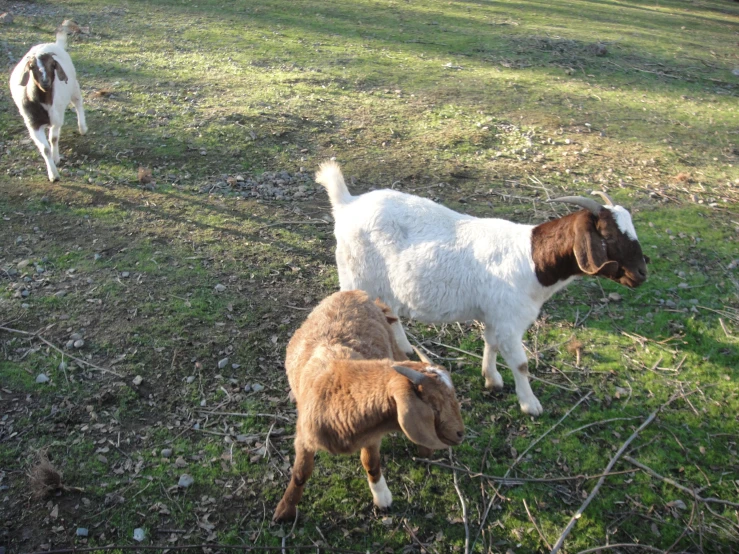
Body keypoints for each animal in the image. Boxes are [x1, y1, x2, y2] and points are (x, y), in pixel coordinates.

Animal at [274, 288, 466, 520]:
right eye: (434, 406)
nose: (460, 433)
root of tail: (355, 292)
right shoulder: (304, 437)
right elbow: (301, 473)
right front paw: (284, 510)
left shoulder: (372, 436)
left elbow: (371, 463)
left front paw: (382, 498)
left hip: (394, 347)